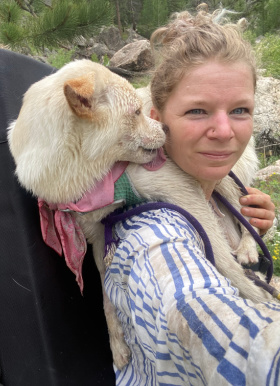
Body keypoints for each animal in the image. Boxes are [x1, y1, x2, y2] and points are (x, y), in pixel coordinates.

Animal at [7, 59, 274, 368]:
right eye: (136, 113)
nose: (167, 127)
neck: (83, 175)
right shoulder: (97, 236)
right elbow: (106, 300)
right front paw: (117, 346)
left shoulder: (180, 189)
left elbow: (225, 263)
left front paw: (260, 299)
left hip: (222, 176)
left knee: (242, 210)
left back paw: (248, 249)